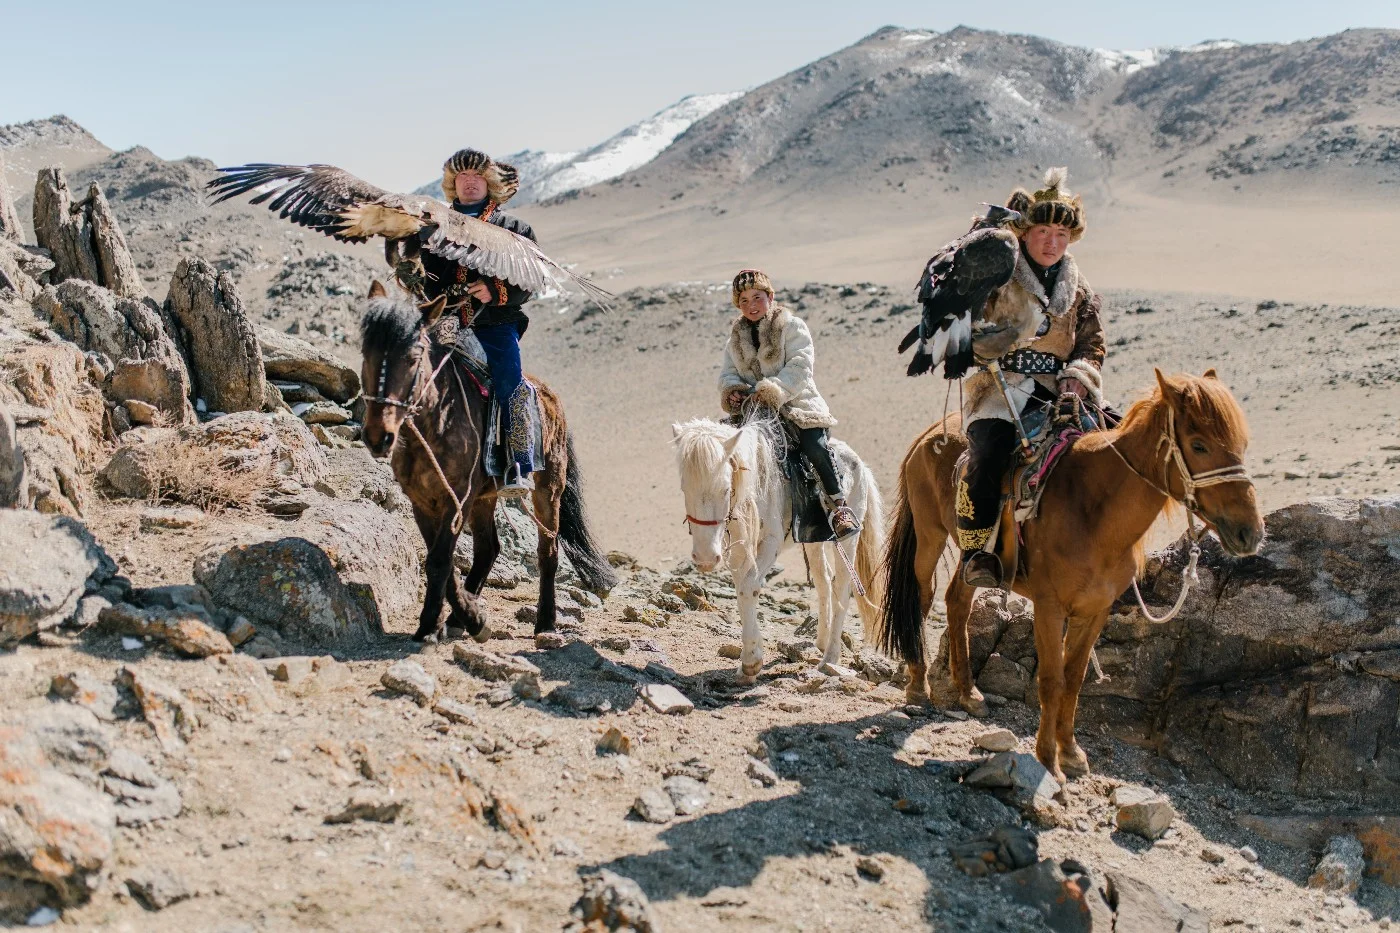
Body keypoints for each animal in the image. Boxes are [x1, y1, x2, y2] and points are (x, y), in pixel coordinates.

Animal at [355, 282, 613, 644]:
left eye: (413, 358)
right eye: (366, 353)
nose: (378, 436)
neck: (437, 422)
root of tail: (551, 397)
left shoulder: (457, 497)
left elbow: (439, 560)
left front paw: (450, 622)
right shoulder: (423, 501)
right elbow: (440, 560)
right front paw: (448, 620)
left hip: (548, 489)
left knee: (547, 552)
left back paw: (545, 624)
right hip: (484, 498)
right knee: (488, 548)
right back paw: (458, 620)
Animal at [669, 414, 884, 683]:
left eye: (726, 489)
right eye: (684, 488)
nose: (706, 558)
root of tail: (860, 464)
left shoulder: (769, 543)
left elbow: (749, 586)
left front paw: (751, 663)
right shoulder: (738, 549)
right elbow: (743, 589)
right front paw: (747, 664)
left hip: (847, 538)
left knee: (842, 587)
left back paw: (830, 658)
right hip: (814, 538)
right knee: (823, 581)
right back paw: (821, 642)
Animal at [879, 369, 1265, 778]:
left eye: (1241, 444)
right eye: (1199, 445)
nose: (1251, 532)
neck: (1093, 509)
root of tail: (930, 433)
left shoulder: (1096, 610)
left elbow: (1075, 679)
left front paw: (1071, 752)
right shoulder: (1049, 607)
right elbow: (1052, 680)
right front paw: (1048, 759)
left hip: (973, 560)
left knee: (957, 601)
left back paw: (969, 694)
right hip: (929, 535)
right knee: (921, 598)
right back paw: (917, 685)